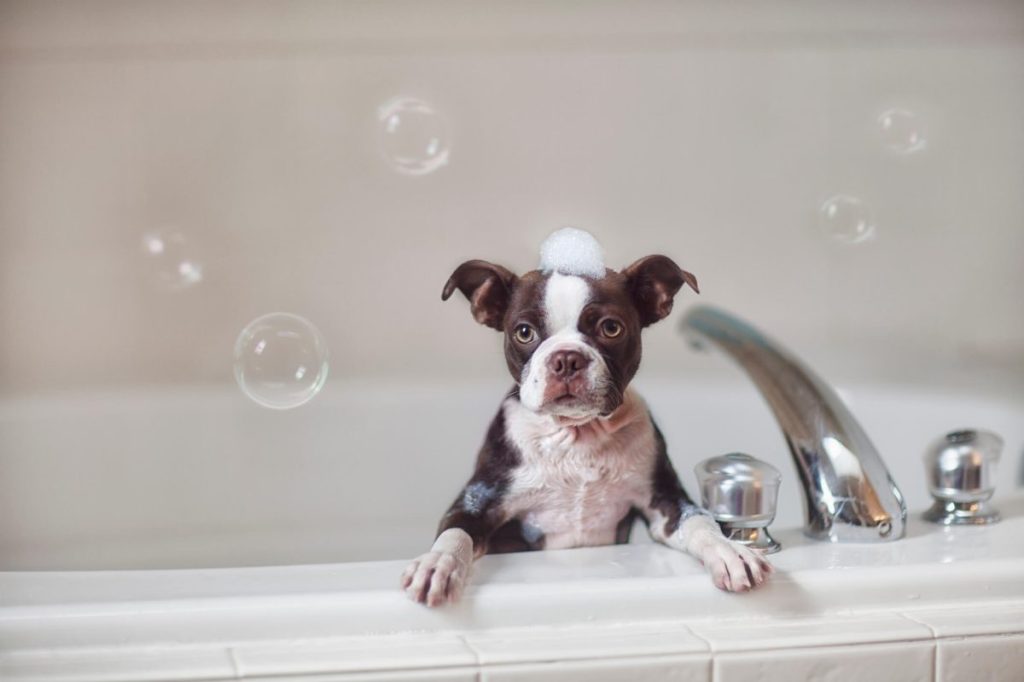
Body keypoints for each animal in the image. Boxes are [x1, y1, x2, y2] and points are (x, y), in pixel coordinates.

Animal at [403, 228, 770, 606]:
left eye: (611, 328)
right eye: (524, 332)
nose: (566, 359)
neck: (577, 436)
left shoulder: (665, 504)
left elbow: (699, 522)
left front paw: (729, 551)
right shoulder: (477, 501)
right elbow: (455, 533)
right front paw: (436, 564)